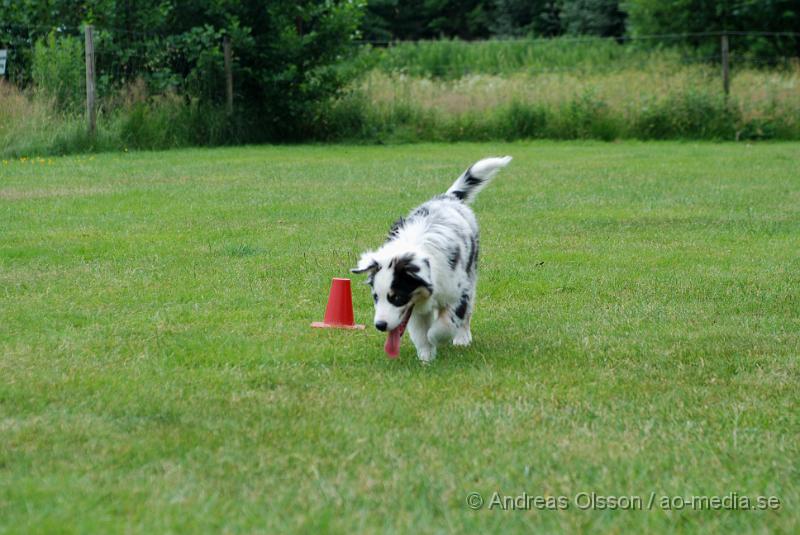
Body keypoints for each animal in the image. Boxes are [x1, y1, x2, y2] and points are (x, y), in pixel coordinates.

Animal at [350, 157, 512, 362]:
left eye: (397, 298)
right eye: (375, 297)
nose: (380, 325)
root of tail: (447, 198)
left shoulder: (459, 292)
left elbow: (445, 325)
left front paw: (438, 338)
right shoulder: (415, 308)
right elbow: (420, 332)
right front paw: (426, 357)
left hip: (471, 274)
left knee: (466, 313)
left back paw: (462, 337)